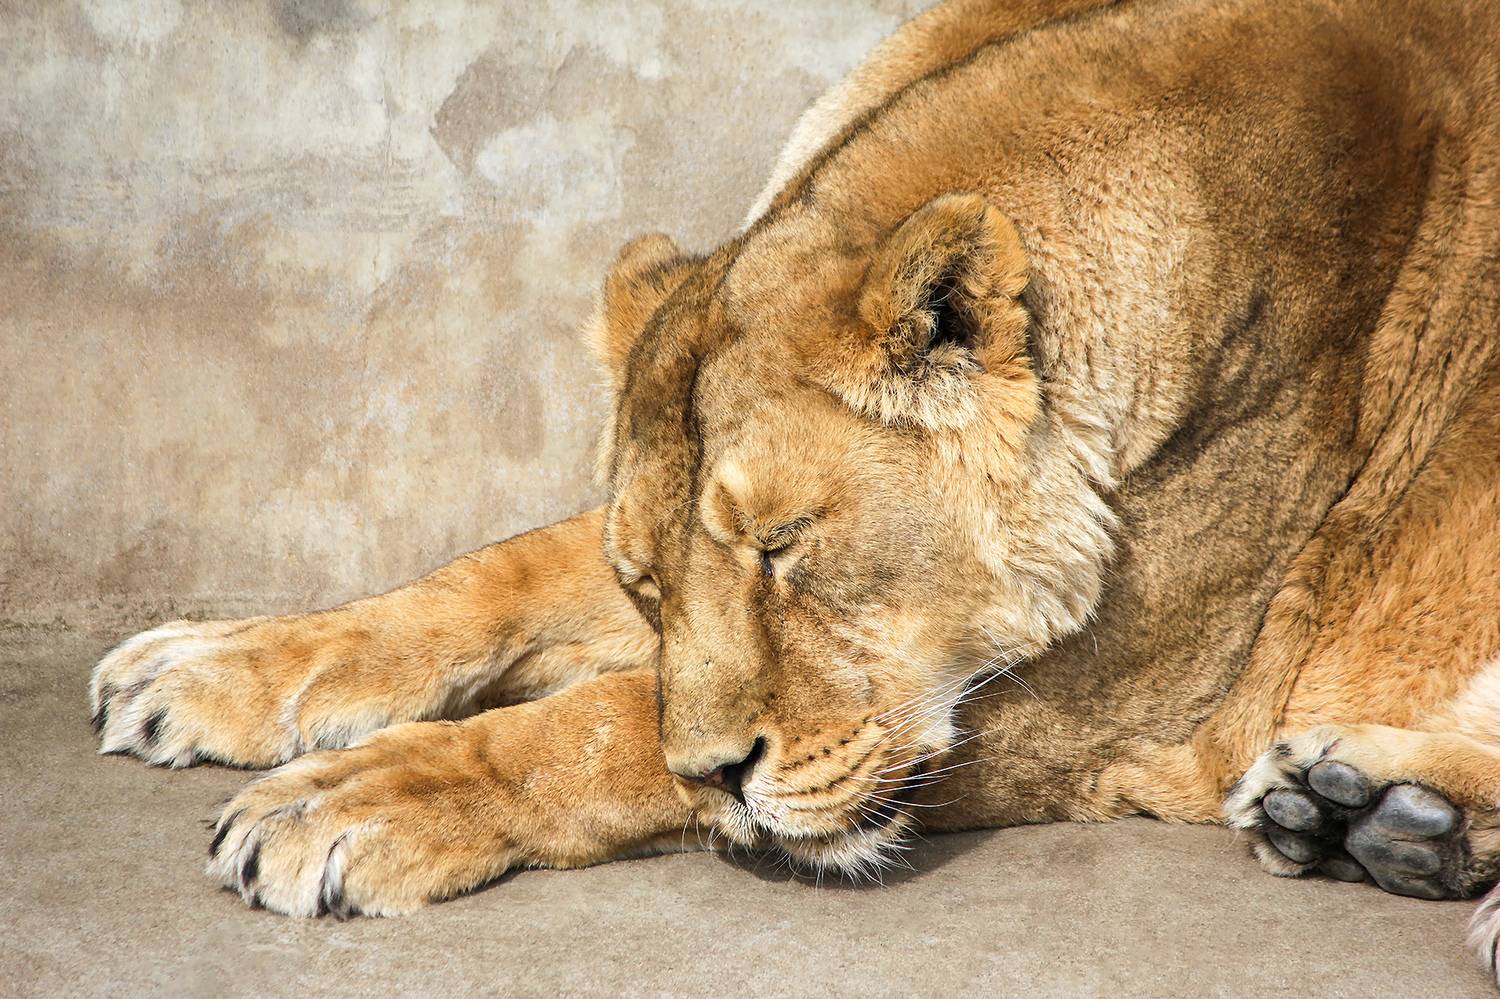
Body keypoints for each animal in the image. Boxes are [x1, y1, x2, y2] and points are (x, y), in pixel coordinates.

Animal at [91, 0, 1500, 978]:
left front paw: (352, 799)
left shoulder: (1141, 712)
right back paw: (1371, 818)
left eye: (786, 547)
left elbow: (605, 724)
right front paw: (210, 666)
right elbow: (501, 569)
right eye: (646, 581)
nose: (721, 776)